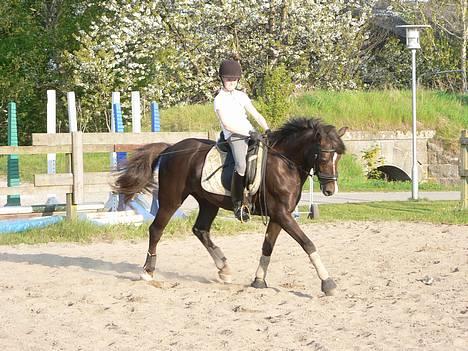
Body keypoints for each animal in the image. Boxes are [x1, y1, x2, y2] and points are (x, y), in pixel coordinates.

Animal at [113, 118, 348, 296]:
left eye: (339, 157)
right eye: (324, 155)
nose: (330, 190)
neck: (285, 163)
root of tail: (171, 148)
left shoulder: (279, 215)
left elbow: (267, 246)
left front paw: (258, 280)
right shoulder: (282, 214)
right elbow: (307, 243)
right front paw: (328, 283)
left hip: (208, 203)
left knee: (200, 230)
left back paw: (224, 269)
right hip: (171, 200)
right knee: (156, 229)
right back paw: (148, 271)